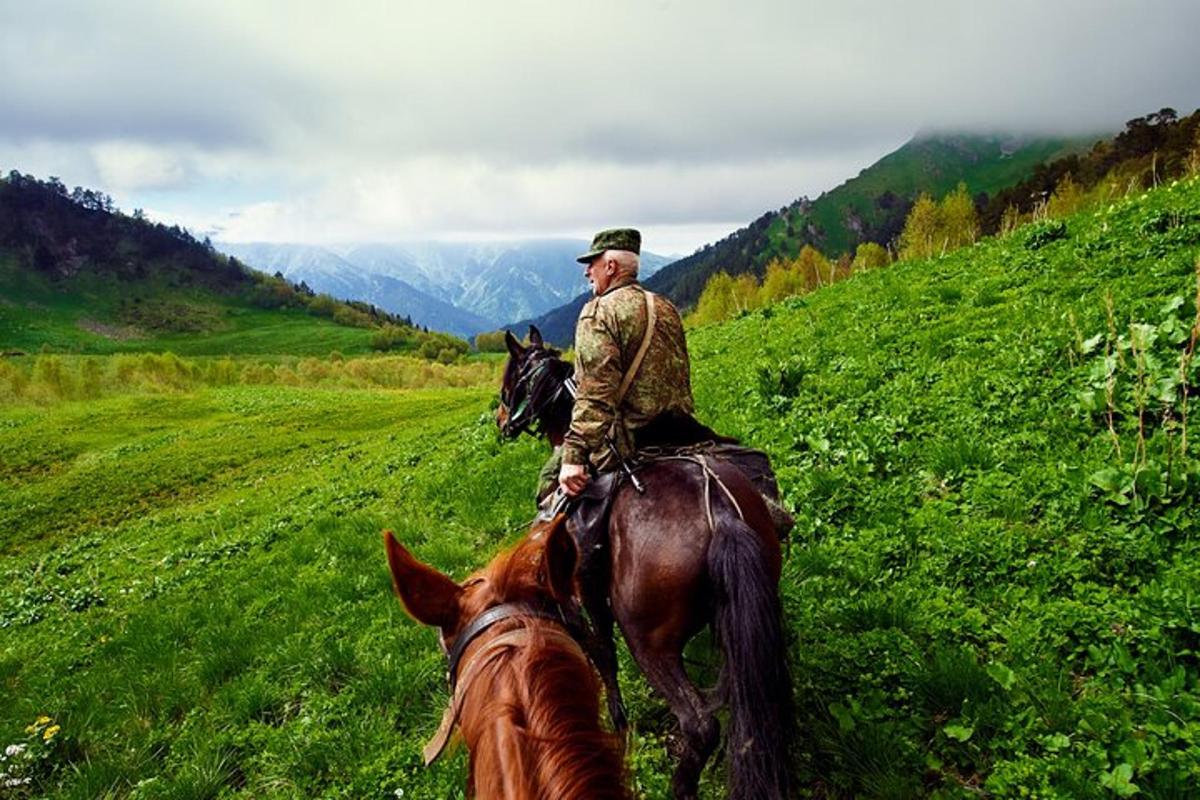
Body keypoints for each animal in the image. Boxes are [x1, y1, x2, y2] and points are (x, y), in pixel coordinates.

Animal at [499, 326, 796, 800]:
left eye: (510, 379)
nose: (501, 421)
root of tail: (722, 514)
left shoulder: (581, 596)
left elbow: (601, 651)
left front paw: (618, 720)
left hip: (648, 641)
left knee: (700, 725)